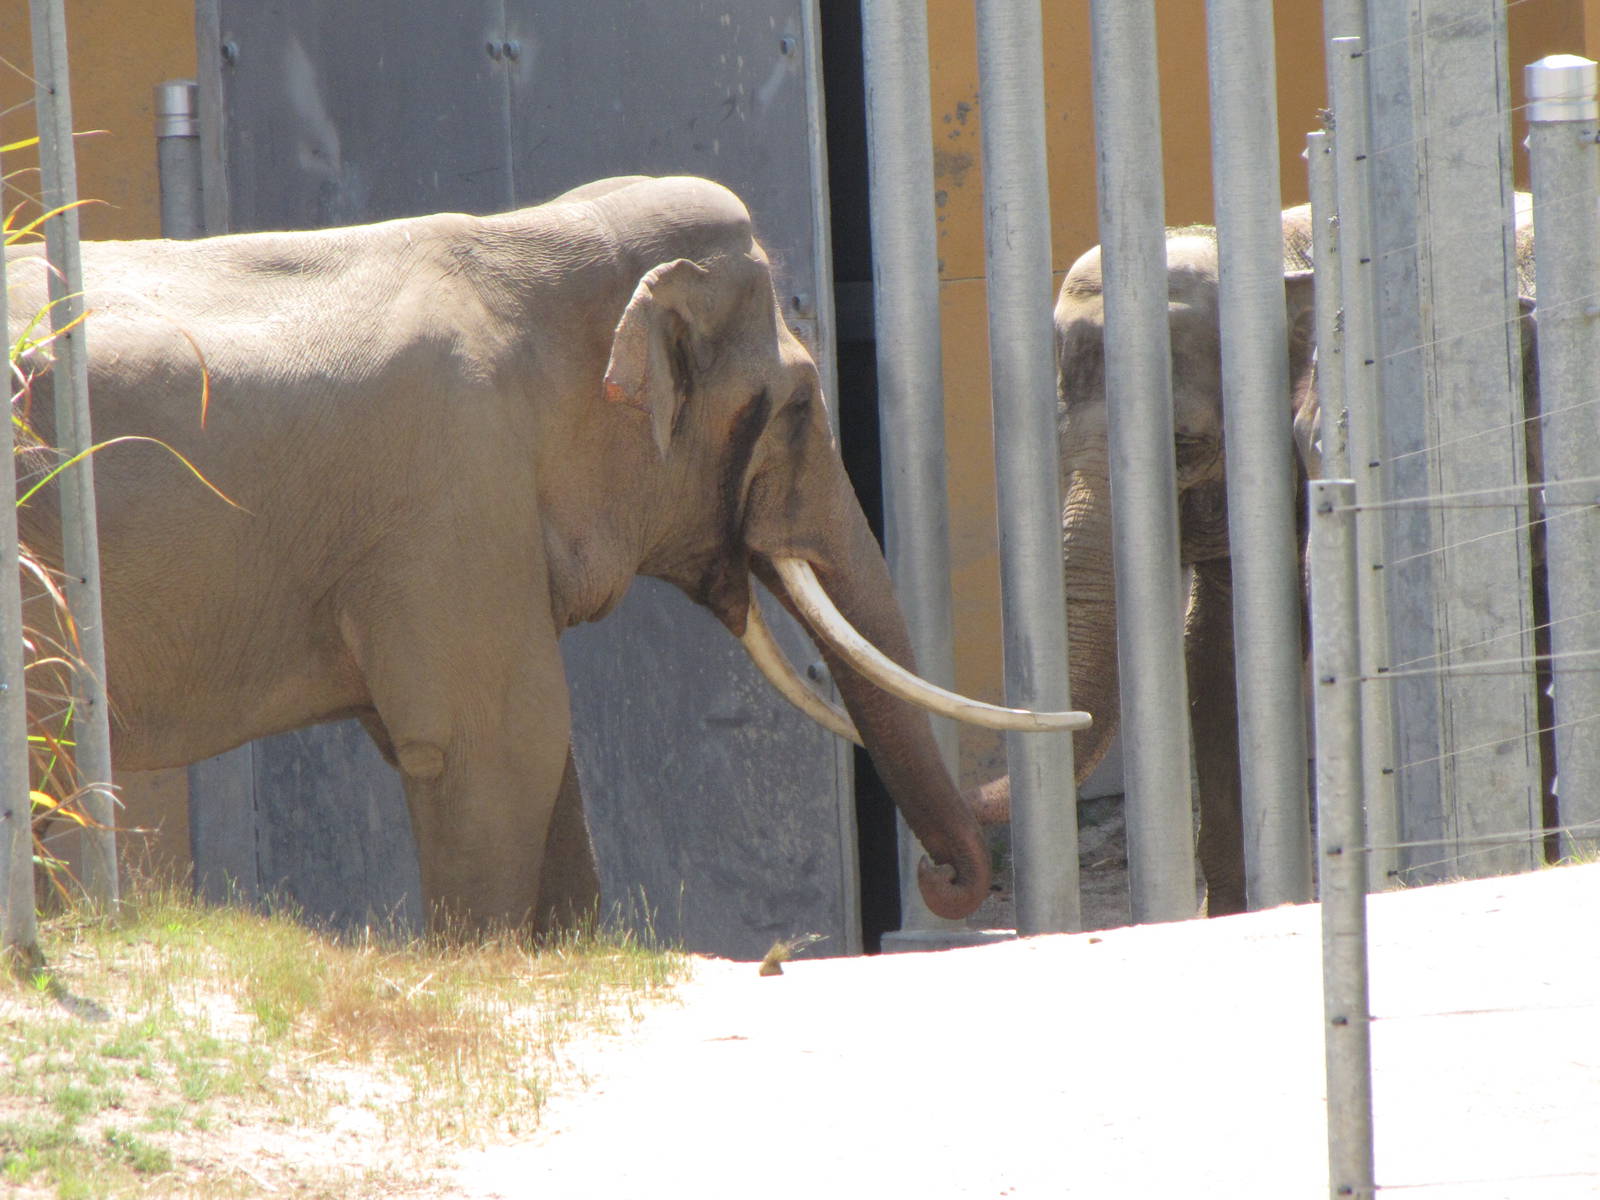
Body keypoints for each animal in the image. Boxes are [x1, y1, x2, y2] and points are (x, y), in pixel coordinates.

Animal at [7, 174, 1078, 931]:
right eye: (801, 406)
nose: (949, 876)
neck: (530, 237)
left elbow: (540, 755)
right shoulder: (456, 489)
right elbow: (493, 742)